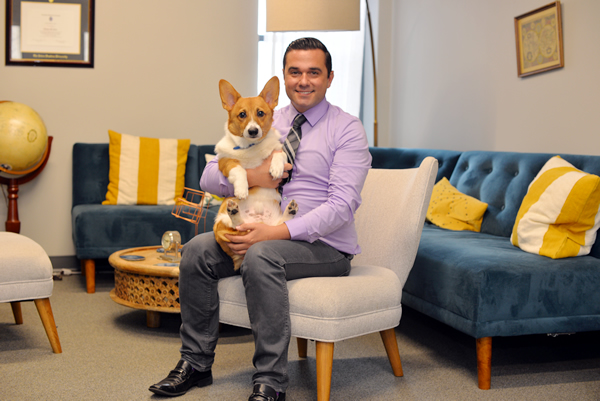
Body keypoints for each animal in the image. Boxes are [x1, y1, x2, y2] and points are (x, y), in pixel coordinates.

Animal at [213, 75, 300, 268]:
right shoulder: (225, 161)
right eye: (242, 115)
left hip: (273, 229)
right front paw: (242, 189)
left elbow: (279, 156)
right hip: (221, 219)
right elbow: (239, 170)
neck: (250, 147)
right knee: (237, 225)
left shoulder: (279, 151)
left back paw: (290, 210)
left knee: (281, 223)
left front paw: (275, 169)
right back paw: (235, 211)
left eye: (260, 113)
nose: (253, 131)